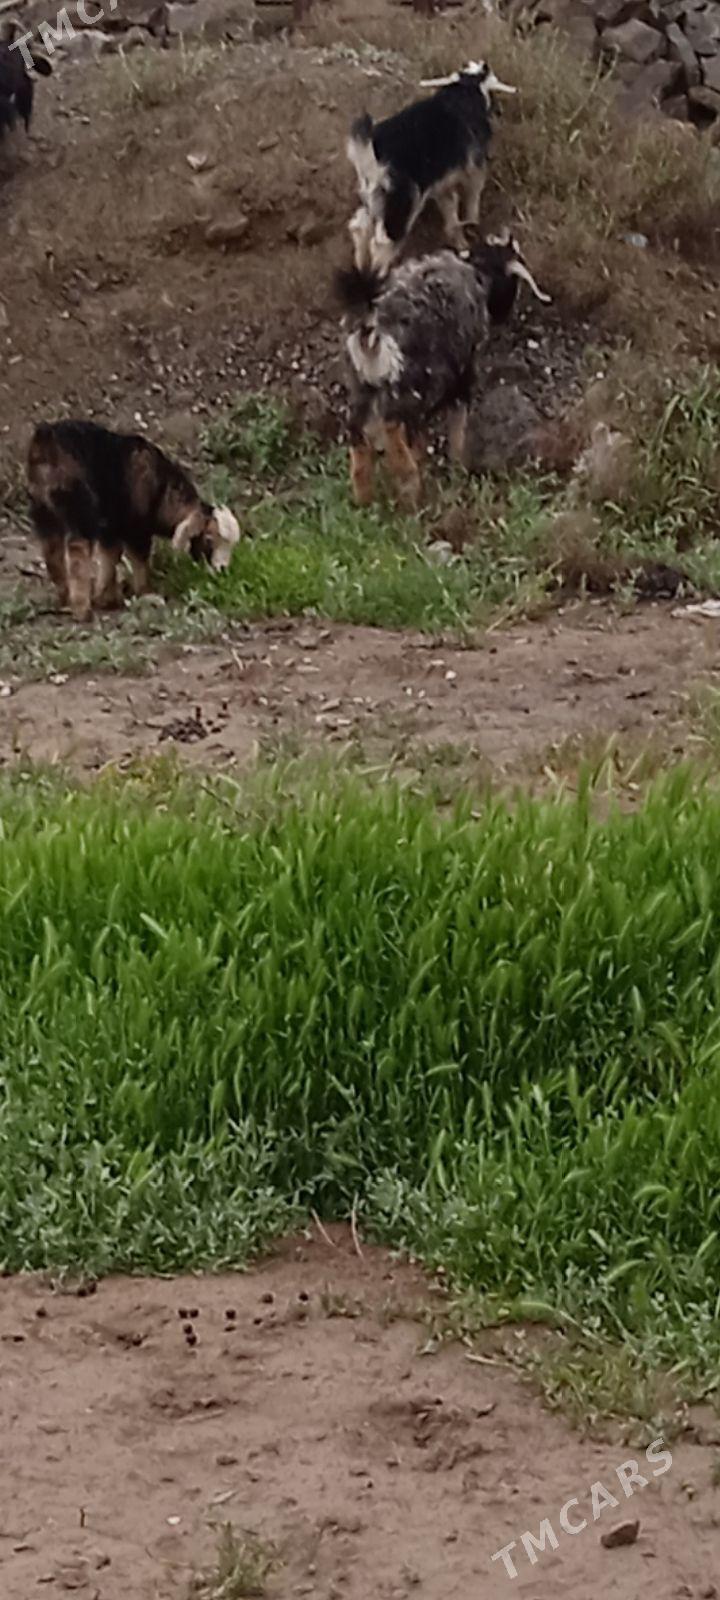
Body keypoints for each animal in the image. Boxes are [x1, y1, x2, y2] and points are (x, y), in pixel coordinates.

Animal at [27, 419, 241, 622]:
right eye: (209, 539)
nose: (222, 570)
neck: (162, 491)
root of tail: (46, 440)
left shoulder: (111, 527)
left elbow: (109, 557)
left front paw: (106, 597)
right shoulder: (135, 529)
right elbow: (138, 560)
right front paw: (145, 591)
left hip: (43, 511)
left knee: (52, 552)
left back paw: (65, 598)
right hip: (78, 509)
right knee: (77, 555)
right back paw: (82, 610)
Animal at [335, 231, 550, 509]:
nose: (506, 313)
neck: (477, 270)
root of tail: (370, 333)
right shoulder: (461, 372)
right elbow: (457, 419)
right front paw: (457, 462)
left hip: (361, 388)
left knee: (358, 437)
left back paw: (365, 500)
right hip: (410, 387)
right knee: (392, 427)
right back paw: (411, 489)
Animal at [346, 61, 516, 276]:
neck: (466, 89)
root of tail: (373, 151)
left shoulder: (442, 184)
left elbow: (450, 211)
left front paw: (460, 242)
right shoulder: (475, 169)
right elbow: (472, 199)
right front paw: (472, 224)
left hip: (374, 196)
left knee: (358, 227)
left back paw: (360, 265)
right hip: (403, 203)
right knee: (383, 242)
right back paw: (378, 275)